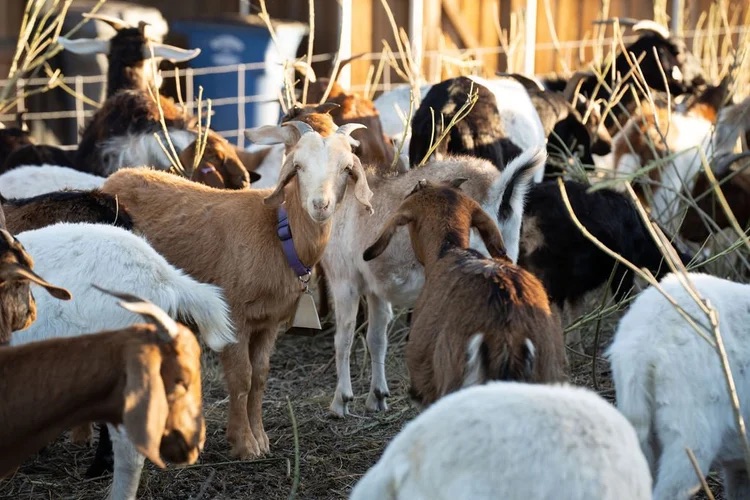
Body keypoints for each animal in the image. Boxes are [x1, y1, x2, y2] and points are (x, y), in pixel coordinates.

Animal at [101, 121, 374, 459]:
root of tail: (116, 176)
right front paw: (244, 444)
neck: (280, 232)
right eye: (297, 167)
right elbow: (241, 378)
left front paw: (261, 439)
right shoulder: (233, 315)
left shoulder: (269, 322)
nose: (320, 205)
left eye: (346, 168)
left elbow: (260, 376)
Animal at [314, 148, 545, 416]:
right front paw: (377, 397)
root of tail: (499, 188)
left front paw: (340, 402)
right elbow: (376, 338)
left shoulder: (344, 281)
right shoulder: (375, 289)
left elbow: (344, 338)